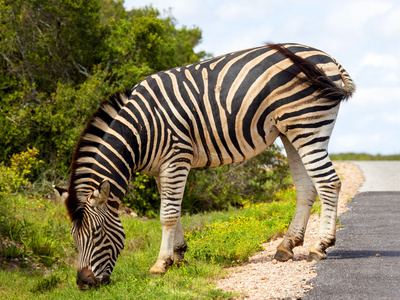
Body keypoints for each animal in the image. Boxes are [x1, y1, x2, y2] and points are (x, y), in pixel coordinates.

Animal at [61, 42, 356, 288]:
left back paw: (320, 246)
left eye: (97, 234)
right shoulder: (161, 168)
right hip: (290, 131)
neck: (140, 130)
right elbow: (174, 210)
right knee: (307, 188)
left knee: (329, 183)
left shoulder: (175, 157)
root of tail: (327, 57)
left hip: (307, 125)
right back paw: (287, 246)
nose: (83, 283)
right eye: (74, 237)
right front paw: (178, 256)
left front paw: (160, 264)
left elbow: (167, 215)